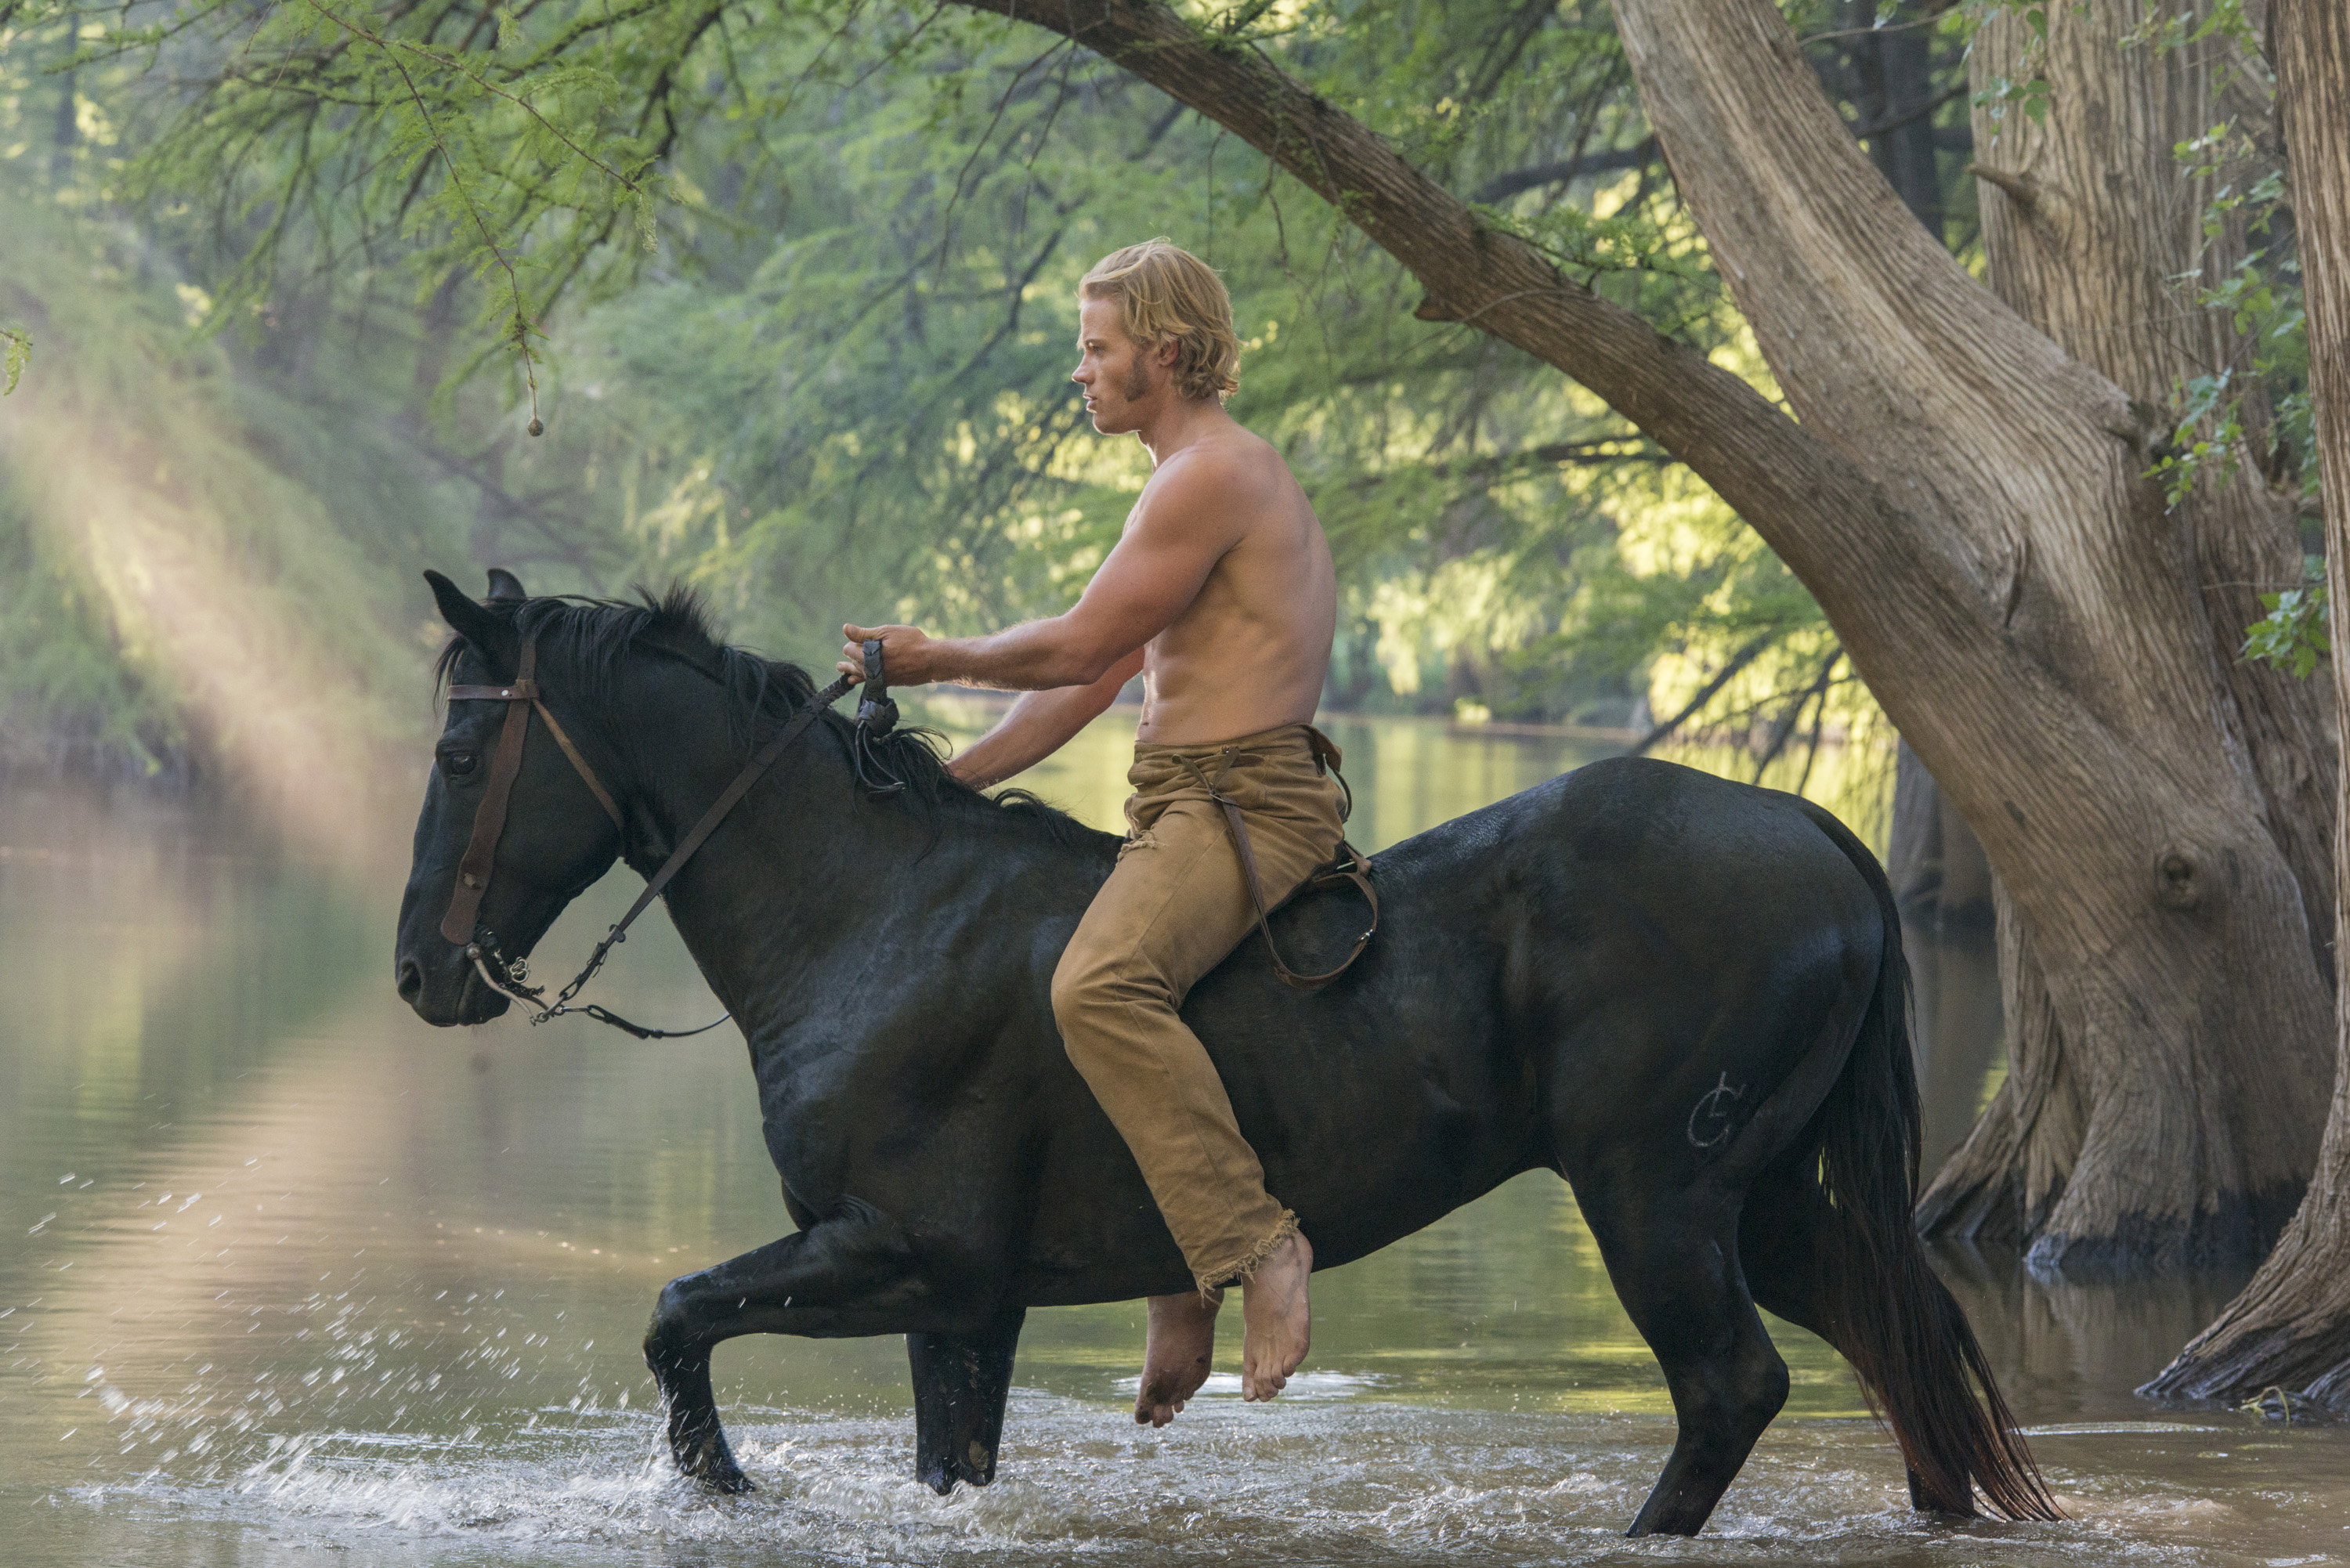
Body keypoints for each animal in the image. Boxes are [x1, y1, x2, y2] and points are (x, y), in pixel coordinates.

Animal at [395, 573, 2049, 1532]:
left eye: (464, 752)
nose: (421, 971)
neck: (871, 916)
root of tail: (1818, 837)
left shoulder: (911, 1254)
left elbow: (678, 1315)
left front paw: (728, 1487)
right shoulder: (965, 1305)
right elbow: (942, 1456)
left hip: (1659, 1195)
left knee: (1731, 1387)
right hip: (1753, 1200)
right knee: (1902, 1338)